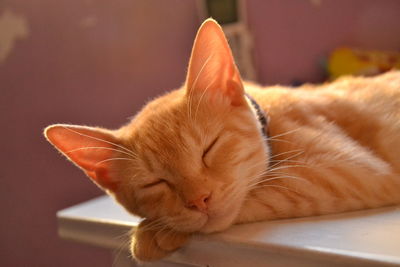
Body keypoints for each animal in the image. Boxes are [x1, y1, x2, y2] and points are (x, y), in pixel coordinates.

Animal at [43, 18, 400, 262]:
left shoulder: (353, 171)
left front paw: (153, 232)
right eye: (154, 182)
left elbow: (268, 191)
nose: (199, 200)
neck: (270, 122)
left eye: (208, 149)